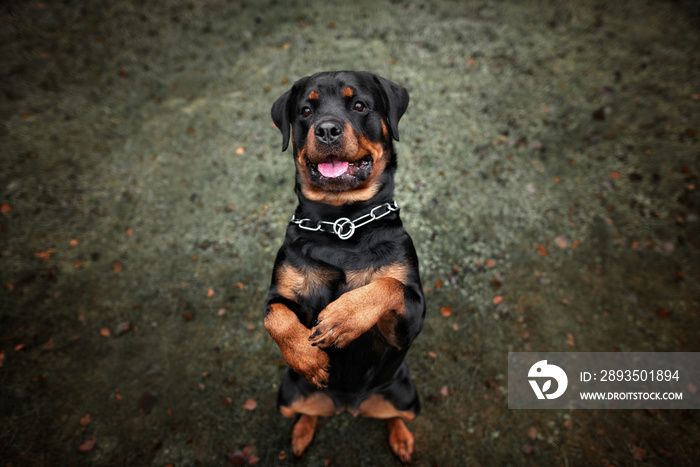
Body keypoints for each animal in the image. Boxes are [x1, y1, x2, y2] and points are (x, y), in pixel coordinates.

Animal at [264, 71, 424, 462]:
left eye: (360, 105)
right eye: (306, 110)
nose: (326, 130)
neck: (341, 221)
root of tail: (348, 405)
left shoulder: (408, 321)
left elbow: (388, 285)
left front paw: (342, 319)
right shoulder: (280, 292)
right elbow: (275, 316)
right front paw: (308, 357)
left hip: (407, 396)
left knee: (396, 416)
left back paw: (401, 439)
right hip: (286, 397)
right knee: (305, 411)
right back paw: (302, 432)